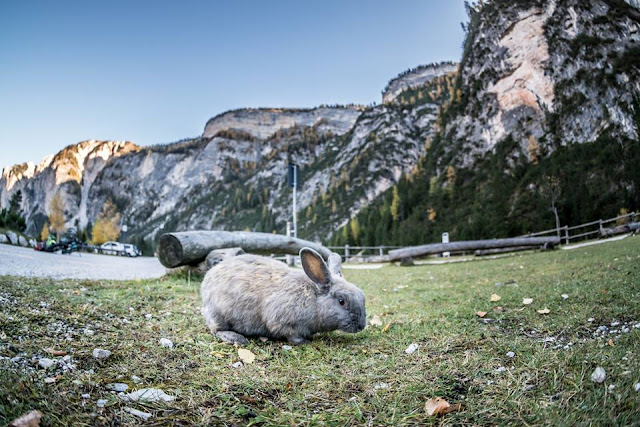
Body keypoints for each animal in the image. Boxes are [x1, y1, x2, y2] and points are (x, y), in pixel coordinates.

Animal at [202, 247, 368, 344]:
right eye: (341, 301)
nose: (361, 326)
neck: (315, 300)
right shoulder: (283, 322)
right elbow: (291, 335)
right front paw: (305, 341)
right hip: (218, 314)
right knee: (216, 330)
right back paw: (236, 338)